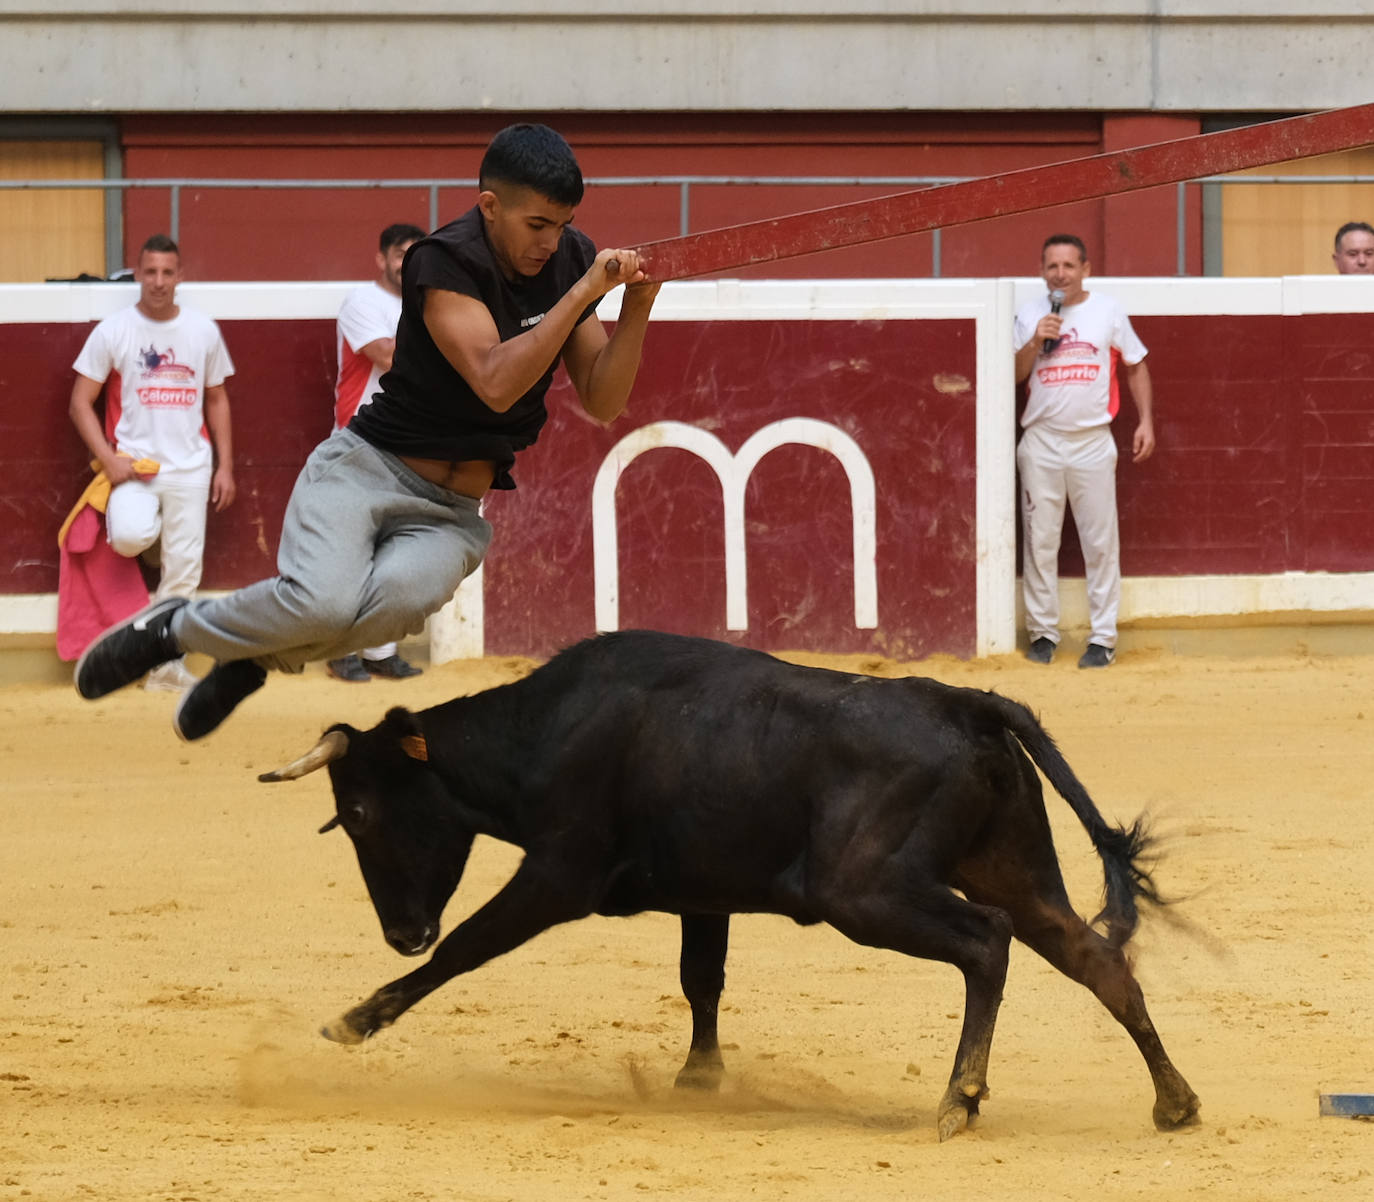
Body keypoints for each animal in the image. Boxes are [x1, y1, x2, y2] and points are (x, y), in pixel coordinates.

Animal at [259, 626, 1203, 1142]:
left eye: (360, 813)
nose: (400, 933)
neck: (545, 731)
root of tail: (967, 702)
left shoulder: (559, 875)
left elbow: (466, 947)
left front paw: (355, 1019)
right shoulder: (701, 892)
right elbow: (701, 976)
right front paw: (699, 1078)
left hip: (864, 892)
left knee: (987, 945)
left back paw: (958, 1100)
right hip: (1013, 869)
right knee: (1094, 957)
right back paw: (1174, 1102)